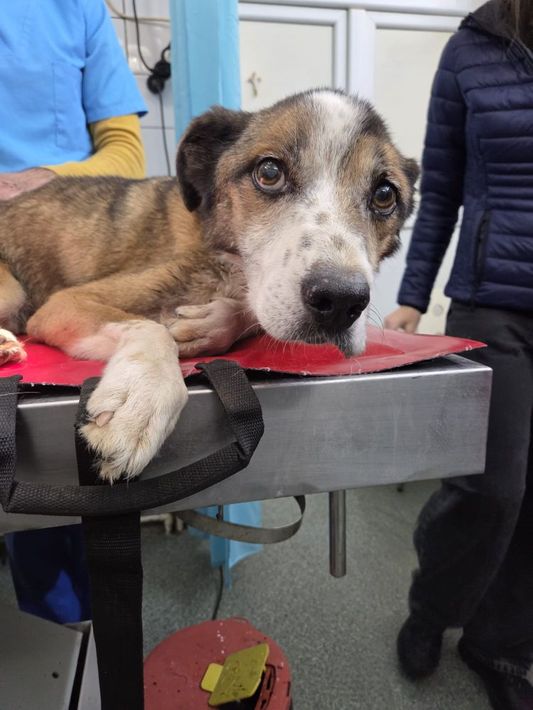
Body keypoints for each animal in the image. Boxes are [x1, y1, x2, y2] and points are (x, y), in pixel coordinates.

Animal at [0, 89, 418, 482]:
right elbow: (152, 329)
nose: (341, 301)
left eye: (385, 195)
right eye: (269, 172)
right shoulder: (64, 303)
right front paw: (141, 400)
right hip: (14, 292)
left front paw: (215, 323)